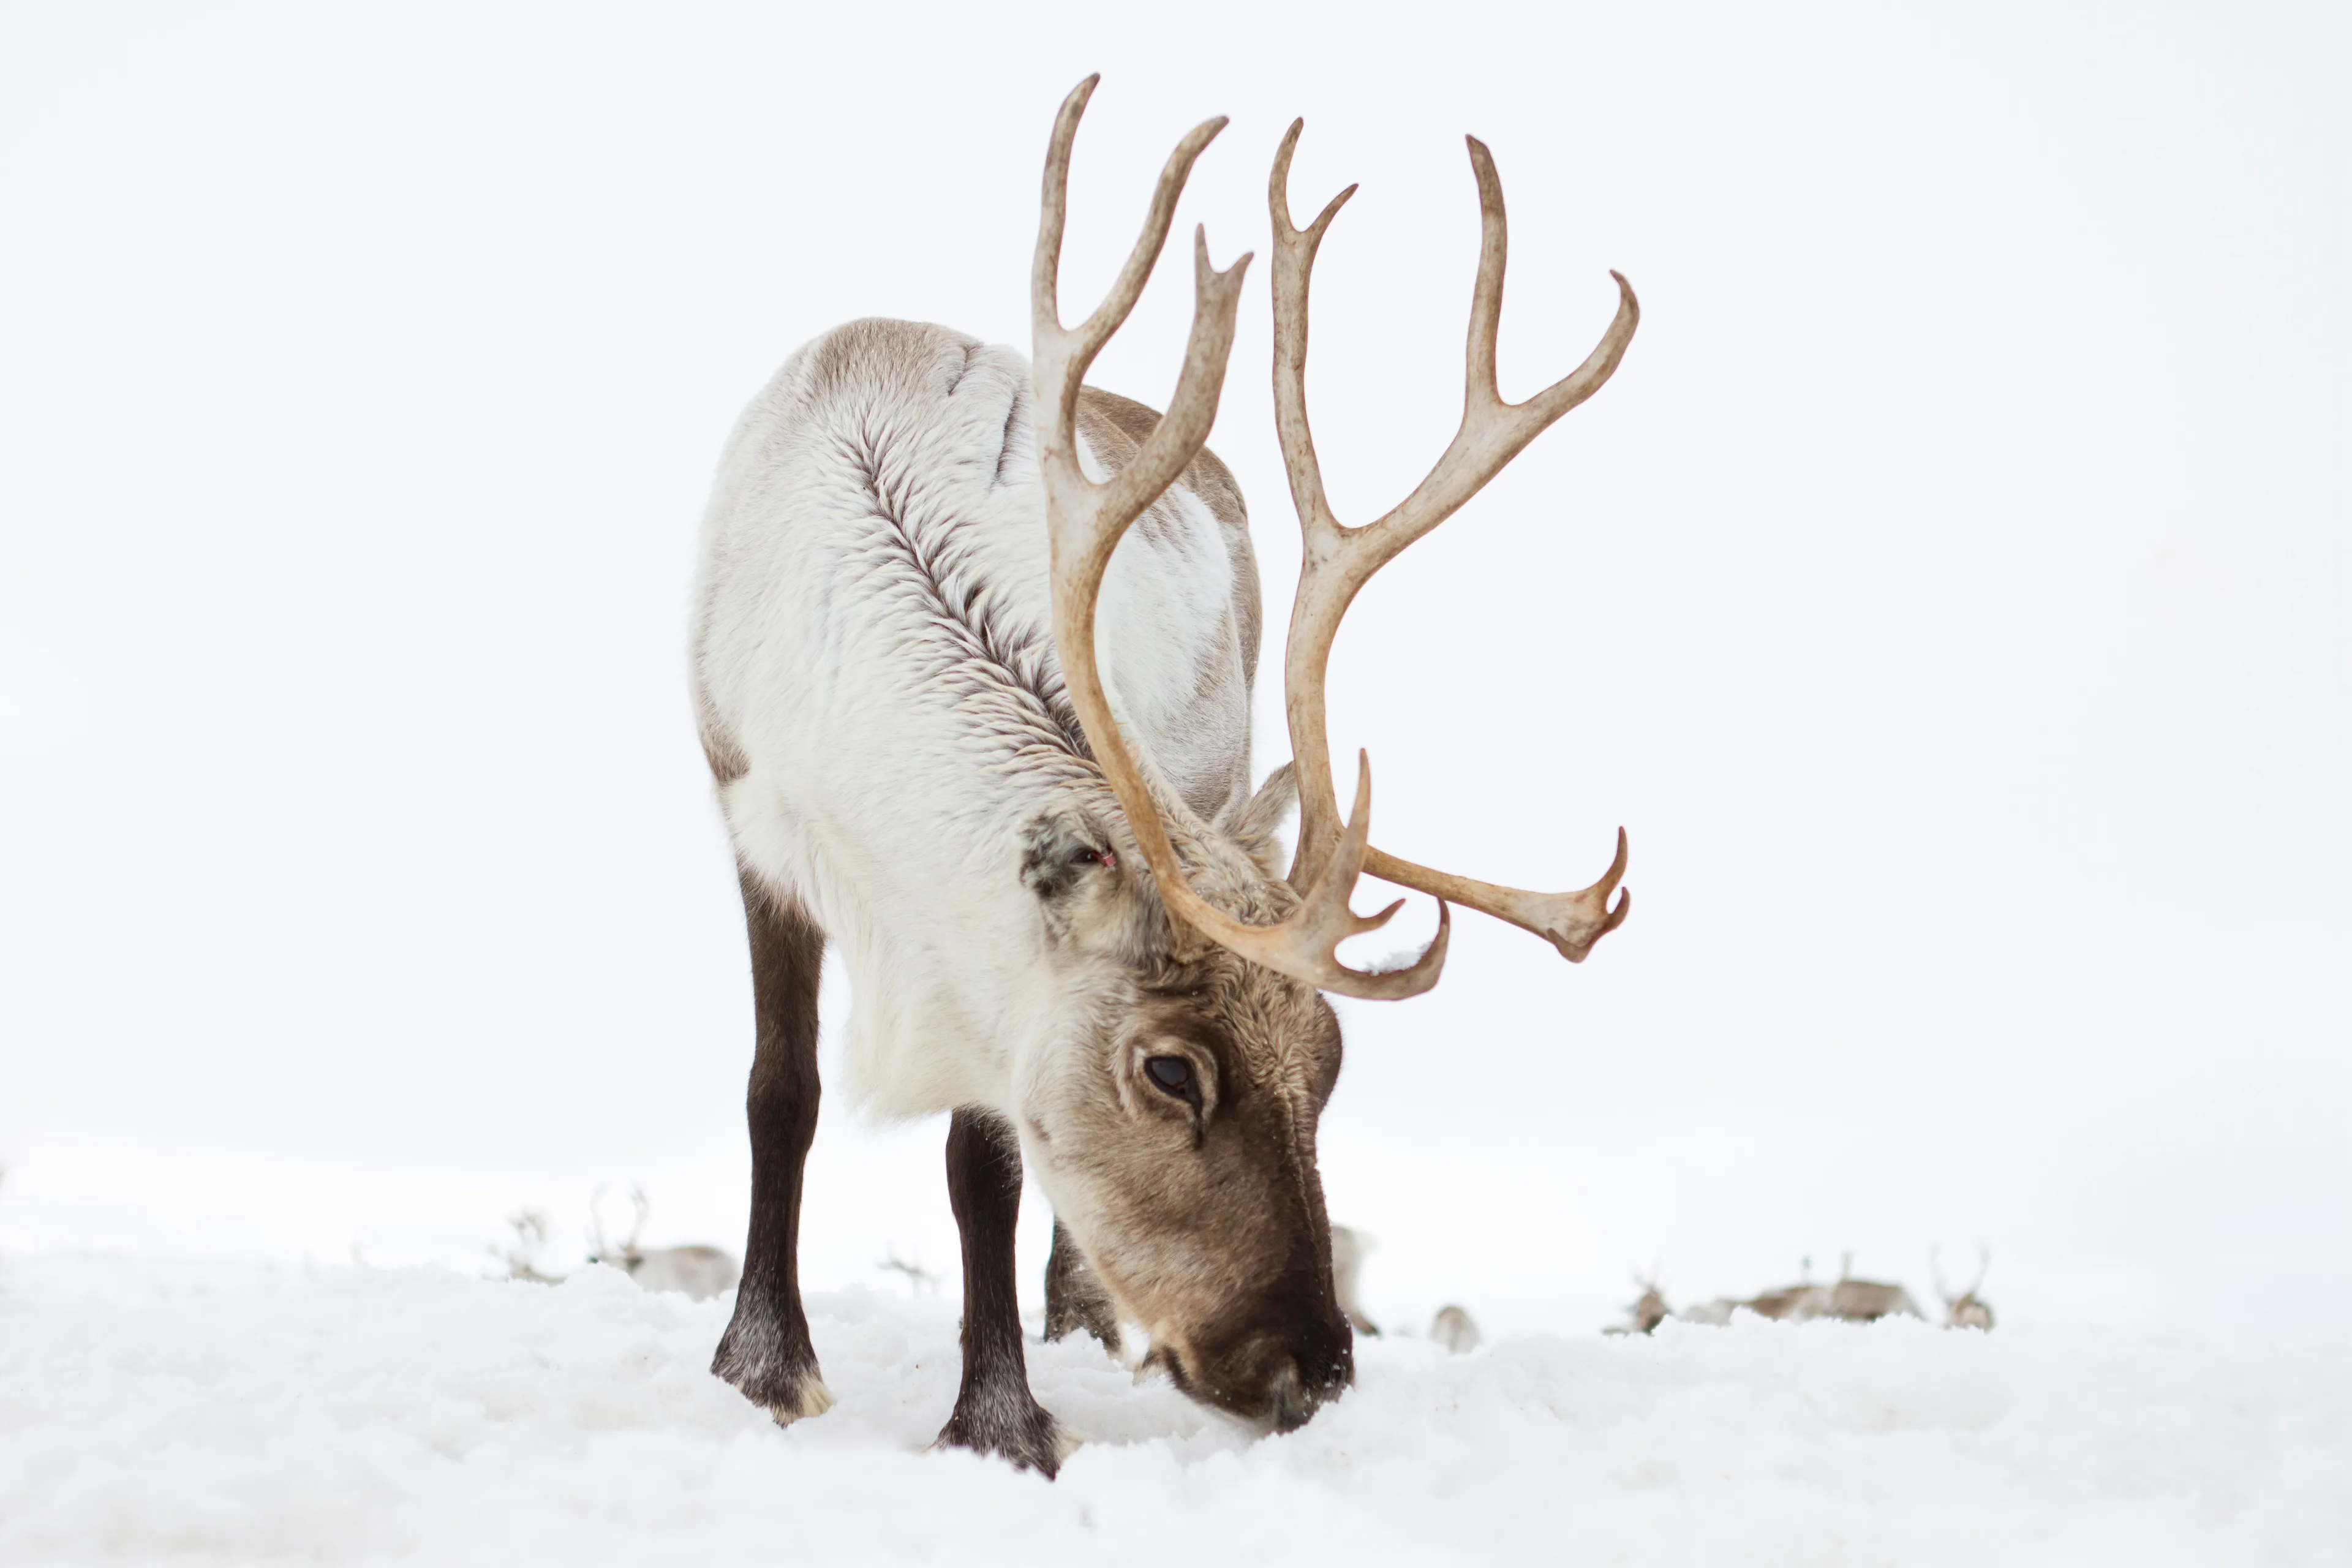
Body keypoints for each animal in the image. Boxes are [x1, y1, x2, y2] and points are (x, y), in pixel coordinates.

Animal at [689, 76, 1639, 1475]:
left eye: (1331, 1062)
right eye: (1171, 1071)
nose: (1313, 1369)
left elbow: (987, 1164)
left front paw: (1001, 1417)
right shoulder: (750, 812)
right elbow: (780, 1089)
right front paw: (763, 1369)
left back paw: (1078, 1323)